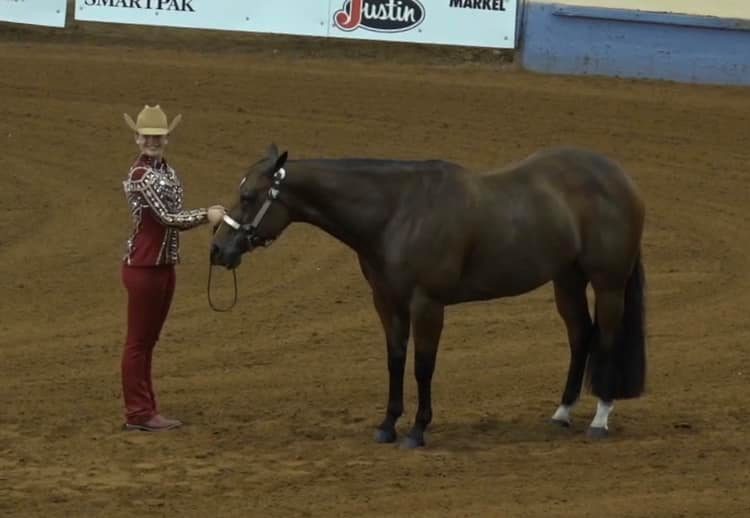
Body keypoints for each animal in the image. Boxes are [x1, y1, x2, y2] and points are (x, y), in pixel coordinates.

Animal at [210, 143, 647, 449]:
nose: (218, 250)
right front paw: (387, 425)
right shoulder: (386, 303)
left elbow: (423, 366)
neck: (397, 212)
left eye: (249, 197)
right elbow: (395, 361)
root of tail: (620, 178)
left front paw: (418, 430)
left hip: (608, 284)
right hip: (566, 280)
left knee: (606, 338)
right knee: (580, 336)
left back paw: (600, 420)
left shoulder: (427, 305)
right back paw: (562, 413)